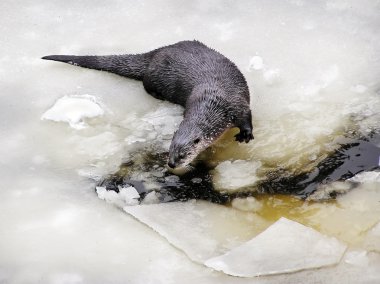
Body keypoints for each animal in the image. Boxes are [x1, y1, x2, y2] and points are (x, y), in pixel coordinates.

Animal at [42, 40, 252, 169]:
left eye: (183, 154)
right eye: (170, 149)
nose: (171, 164)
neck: (215, 105)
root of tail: (156, 52)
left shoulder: (238, 105)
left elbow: (247, 119)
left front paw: (245, 136)